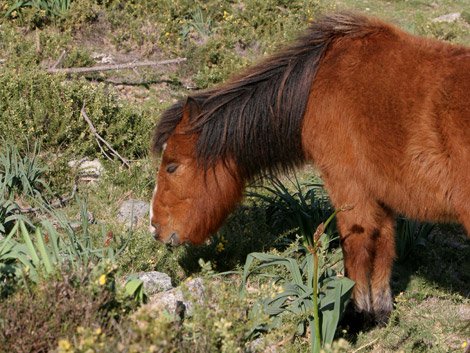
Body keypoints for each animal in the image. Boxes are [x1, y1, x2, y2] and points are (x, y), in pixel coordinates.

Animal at [149, 12, 468, 324]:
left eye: (172, 166)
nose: (155, 227)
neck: (316, 85)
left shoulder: (347, 186)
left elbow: (356, 246)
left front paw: (355, 313)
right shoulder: (381, 195)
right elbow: (384, 248)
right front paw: (379, 312)